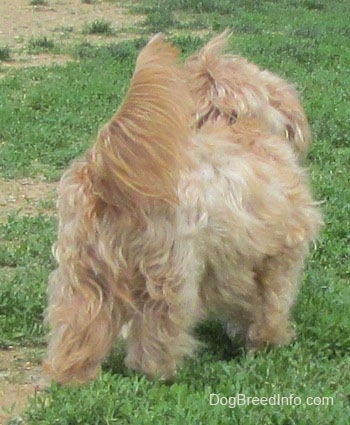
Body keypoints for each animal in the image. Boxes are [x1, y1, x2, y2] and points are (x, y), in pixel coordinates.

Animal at [43, 34, 322, 384]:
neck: (232, 125)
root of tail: (105, 174)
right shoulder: (279, 254)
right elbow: (272, 302)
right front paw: (270, 340)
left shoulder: (233, 260)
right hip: (168, 272)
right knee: (157, 330)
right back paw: (159, 373)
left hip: (83, 272)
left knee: (77, 325)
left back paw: (71, 375)